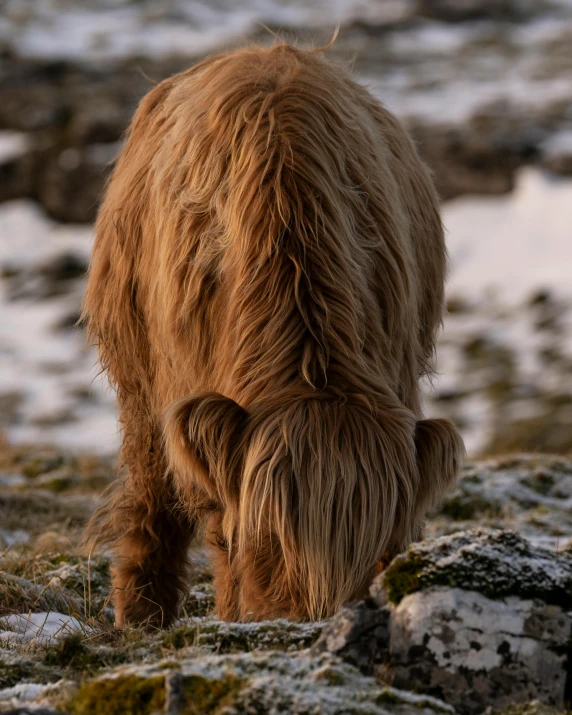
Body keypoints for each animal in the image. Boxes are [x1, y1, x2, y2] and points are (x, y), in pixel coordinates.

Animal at [81, 43, 464, 628]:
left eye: (382, 555)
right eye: (268, 545)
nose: (305, 621)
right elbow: (215, 523)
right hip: (138, 382)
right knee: (152, 493)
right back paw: (142, 612)